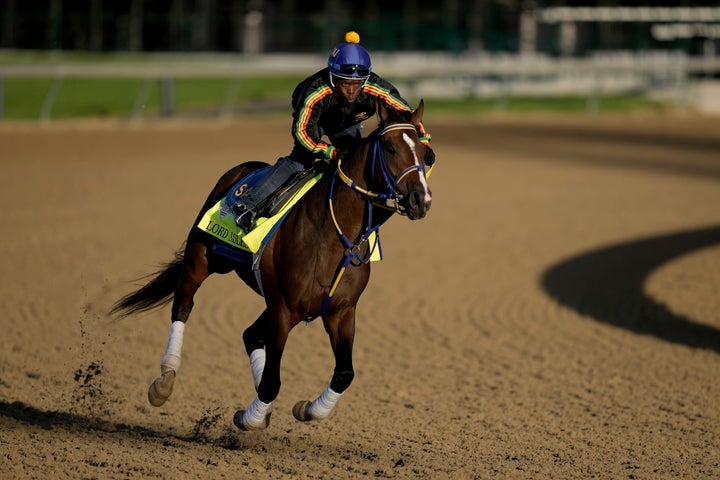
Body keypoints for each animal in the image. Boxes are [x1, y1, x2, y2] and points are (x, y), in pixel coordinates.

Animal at [109, 99, 430, 430]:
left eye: (424, 151)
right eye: (390, 148)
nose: (421, 200)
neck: (333, 236)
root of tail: (241, 170)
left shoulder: (340, 311)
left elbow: (344, 374)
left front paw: (307, 408)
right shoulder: (284, 310)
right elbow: (272, 382)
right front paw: (250, 417)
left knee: (250, 334)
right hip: (202, 258)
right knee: (183, 306)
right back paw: (164, 381)